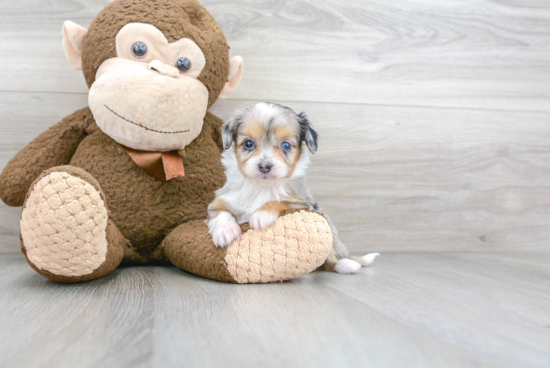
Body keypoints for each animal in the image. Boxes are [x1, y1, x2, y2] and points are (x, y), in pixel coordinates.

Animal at [207, 101, 380, 274]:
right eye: (248, 143)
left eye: (285, 145)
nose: (264, 166)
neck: (262, 187)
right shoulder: (221, 199)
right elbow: (220, 212)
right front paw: (225, 231)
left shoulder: (301, 204)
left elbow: (279, 201)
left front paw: (262, 214)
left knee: (330, 258)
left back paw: (346, 264)